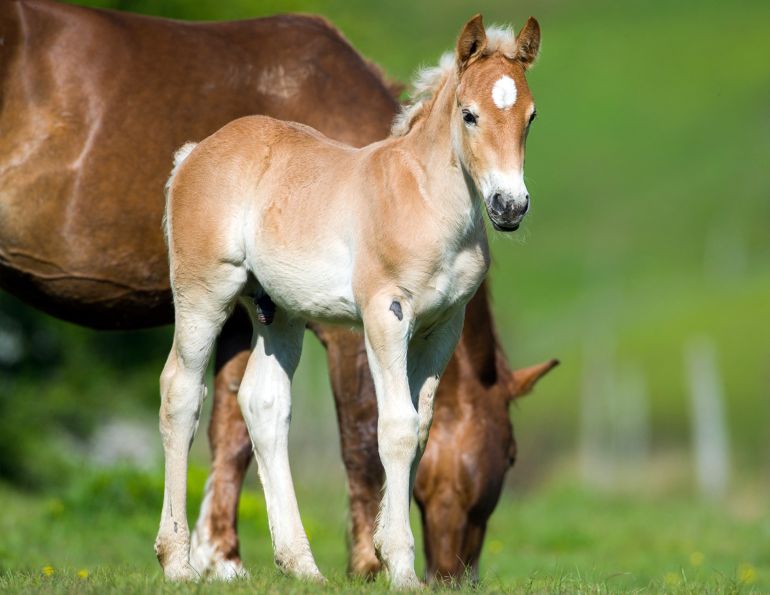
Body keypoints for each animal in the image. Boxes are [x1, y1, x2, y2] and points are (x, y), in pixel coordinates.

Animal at [160, 14, 541, 588]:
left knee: (263, 404)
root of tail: (193, 154)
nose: (509, 207)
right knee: (181, 393)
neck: (426, 200)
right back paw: (177, 562)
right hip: (204, 293)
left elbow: (421, 429)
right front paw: (400, 567)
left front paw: (386, 555)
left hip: (279, 312)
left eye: (530, 117)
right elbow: (395, 428)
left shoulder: (442, 327)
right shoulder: (386, 315)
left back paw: (301, 565)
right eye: (469, 114)